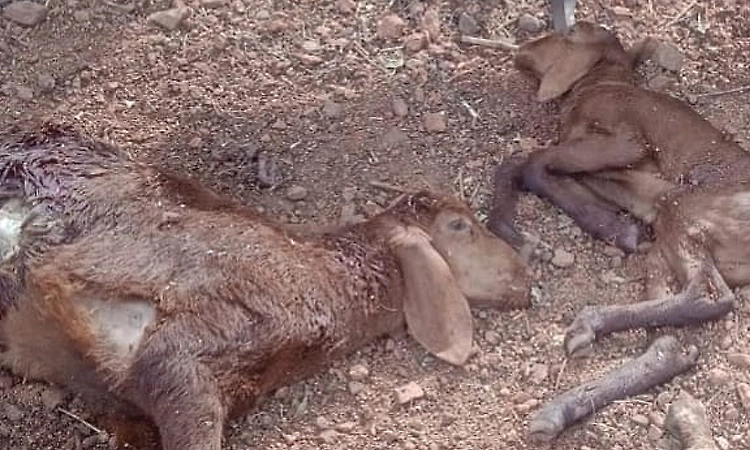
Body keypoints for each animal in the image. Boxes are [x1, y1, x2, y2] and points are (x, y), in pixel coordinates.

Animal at [487, 22, 750, 354]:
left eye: (569, 33)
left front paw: (521, 236)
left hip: (685, 209)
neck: (598, 84)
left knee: (706, 293)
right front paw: (617, 228)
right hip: (667, 240)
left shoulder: (628, 141)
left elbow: (531, 161)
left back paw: (588, 323)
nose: (521, 51)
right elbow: (528, 166)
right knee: (669, 296)